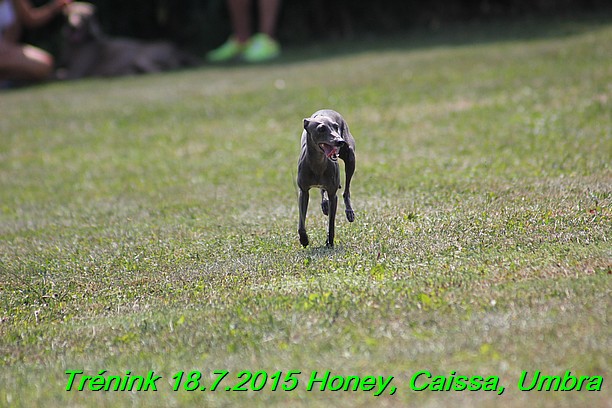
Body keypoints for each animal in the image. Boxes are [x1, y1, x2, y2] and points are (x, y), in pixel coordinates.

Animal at [59, 2, 198, 79]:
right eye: (70, 14)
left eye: (83, 16)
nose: (73, 26)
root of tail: (176, 49)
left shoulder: (76, 72)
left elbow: (60, 75)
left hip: (141, 57)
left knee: (159, 70)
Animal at [296, 109, 354, 249]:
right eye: (321, 129)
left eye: (336, 127)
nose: (340, 141)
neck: (318, 163)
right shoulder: (303, 192)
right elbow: (301, 222)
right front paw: (304, 239)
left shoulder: (333, 195)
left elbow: (331, 224)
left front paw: (329, 241)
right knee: (323, 191)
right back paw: (324, 204)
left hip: (350, 157)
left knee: (346, 191)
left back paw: (349, 212)